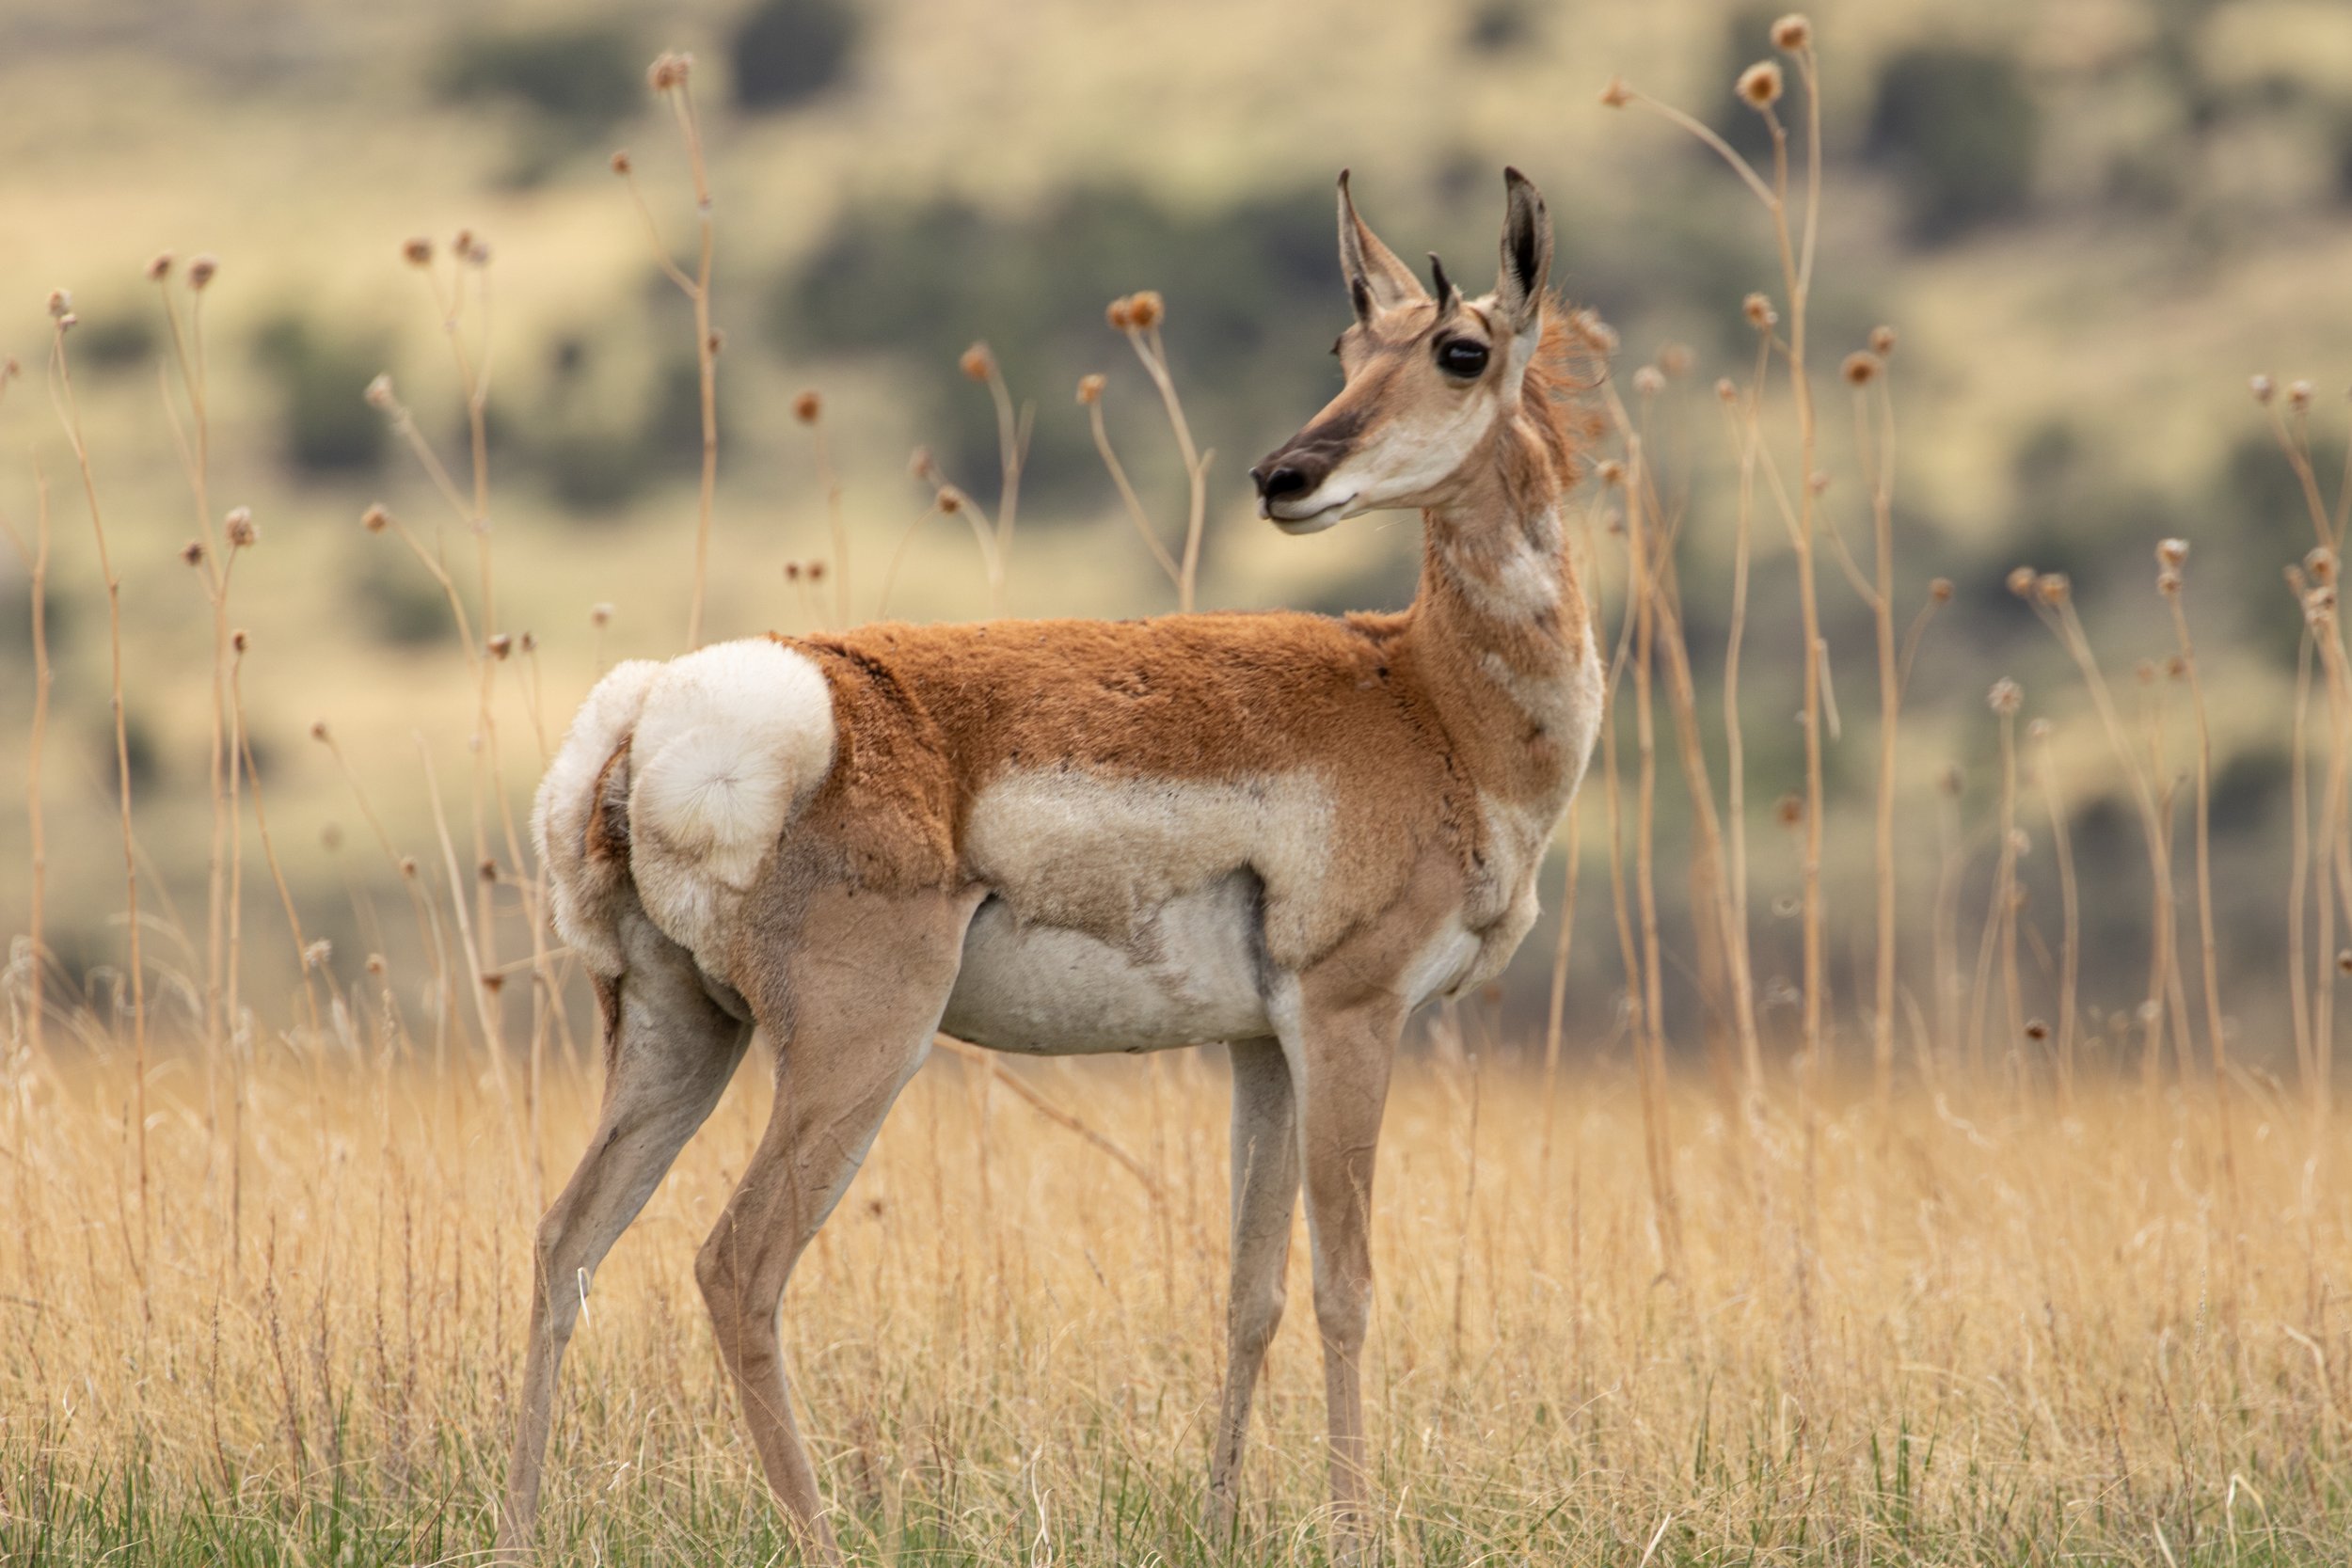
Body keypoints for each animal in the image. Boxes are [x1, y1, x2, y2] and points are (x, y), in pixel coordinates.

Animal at [496, 166, 1599, 1560]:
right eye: (1352, 350)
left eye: (1456, 348)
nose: (1284, 474)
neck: (1423, 694)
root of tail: (657, 706)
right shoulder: (1353, 1017)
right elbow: (1345, 1283)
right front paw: (1353, 1529)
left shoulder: (1261, 1045)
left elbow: (1251, 1288)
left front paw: (1219, 1518)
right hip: (856, 1049)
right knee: (735, 1265)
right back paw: (822, 1529)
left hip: (675, 1035)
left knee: (564, 1242)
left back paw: (517, 1527)